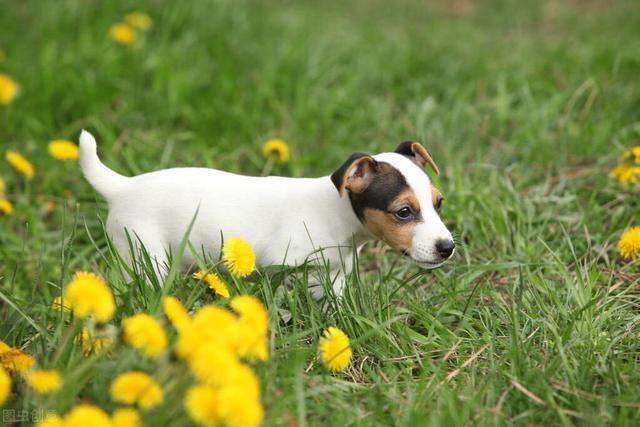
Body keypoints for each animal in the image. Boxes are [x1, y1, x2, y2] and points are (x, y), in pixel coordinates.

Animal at [77, 130, 452, 298]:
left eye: (438, 203)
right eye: (403, 212)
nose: (447, 247)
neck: (335, 213)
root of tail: (122, 187)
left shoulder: (332, 274)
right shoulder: (287, 263)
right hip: (143, 254)